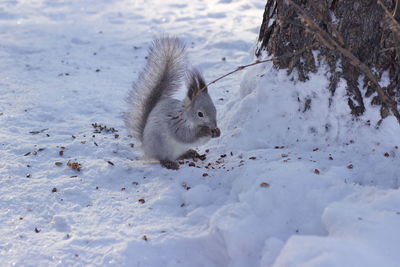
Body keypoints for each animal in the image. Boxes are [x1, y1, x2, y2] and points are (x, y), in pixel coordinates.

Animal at [124, 36, 220, 170]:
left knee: (179, 155)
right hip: (161, 146)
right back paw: (169, 163)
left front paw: (217, 132)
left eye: (215, 109)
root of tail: (146, 147)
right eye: (200, 114)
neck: (186, 116)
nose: (213, 125)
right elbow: (185, 136)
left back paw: (190, 153)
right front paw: (204, 131)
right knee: (161, 158)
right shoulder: (175, 123)